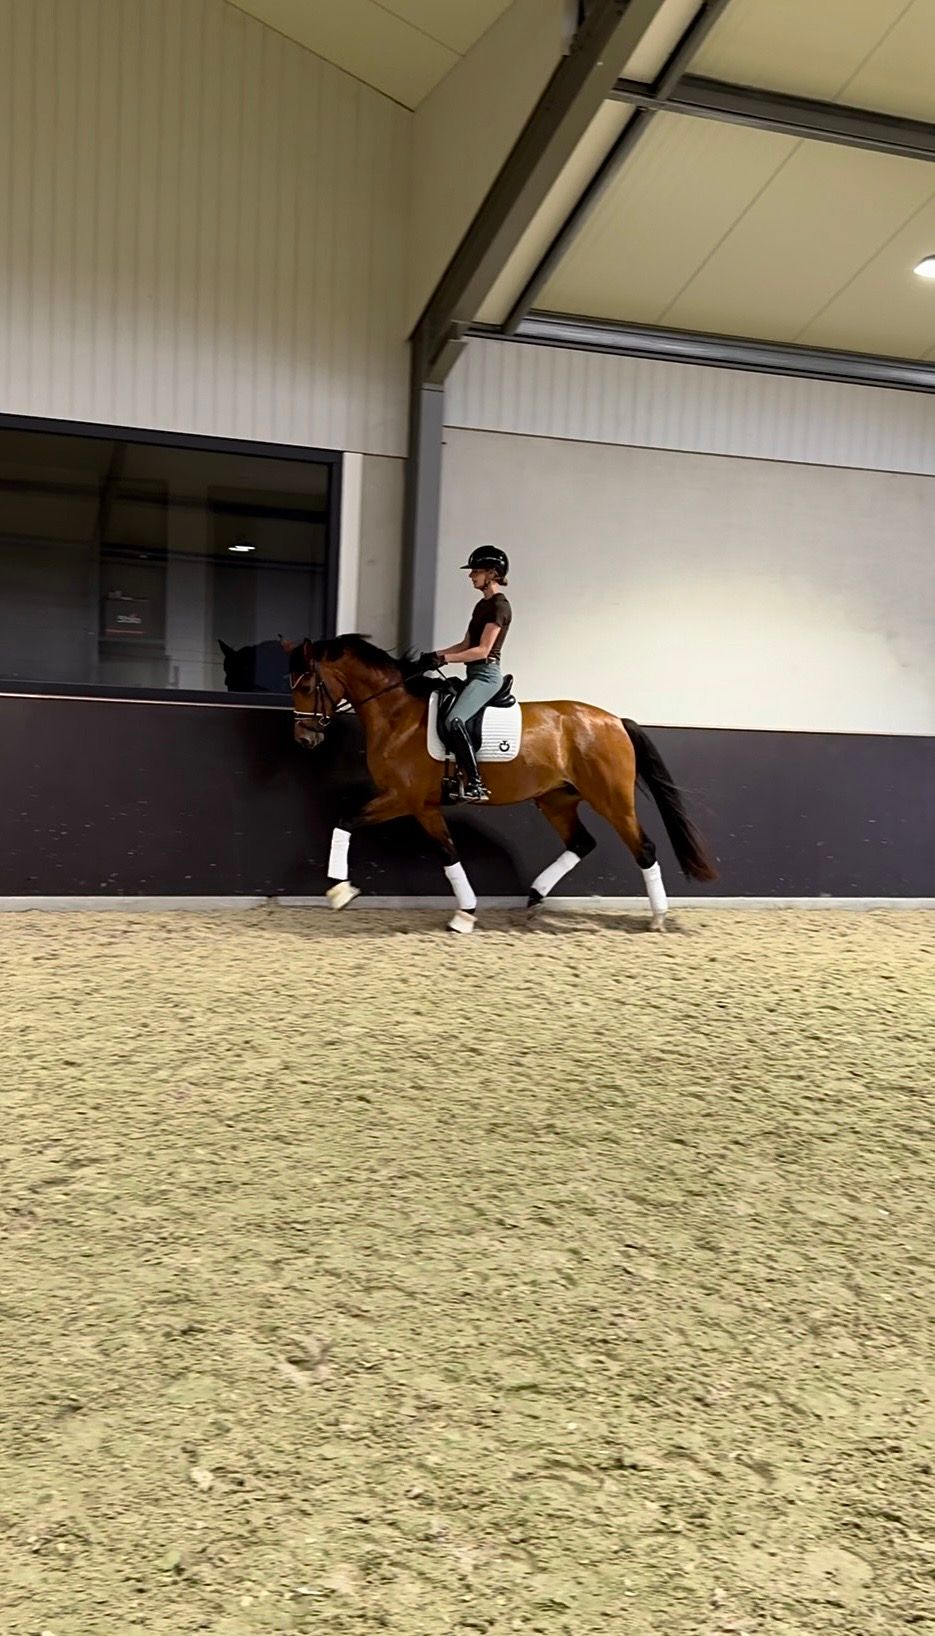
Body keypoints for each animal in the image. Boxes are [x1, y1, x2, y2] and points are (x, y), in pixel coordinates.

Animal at [290, 635, 717, 933]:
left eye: (307, 687)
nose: (304, 739)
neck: (399, 715)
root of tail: (615, 721)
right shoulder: (419, 805)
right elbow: (438, 850)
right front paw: (464, 913)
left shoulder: (406, 799)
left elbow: (355, 823)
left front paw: (340, 891)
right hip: (556, 800)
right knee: (581, 842)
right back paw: (535, 896)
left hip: (611, 800)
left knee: (643, 848)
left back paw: (658, 917)